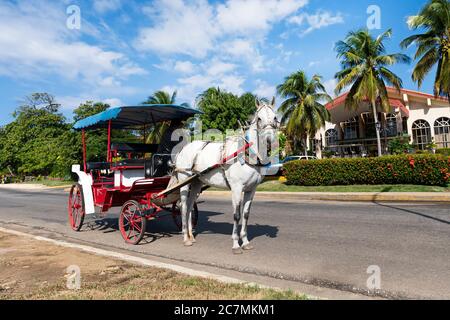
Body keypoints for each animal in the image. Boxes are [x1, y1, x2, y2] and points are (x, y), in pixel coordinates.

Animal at [174, 99, 280, 254]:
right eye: (259, 119)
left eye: (275, 117)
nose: (269, 140)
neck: (247, 154)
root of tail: (184, 149)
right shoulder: (236, 188)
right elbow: (236, 215)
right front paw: (236, 244)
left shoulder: (251, 189)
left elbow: (246, 214)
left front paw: (245, 242)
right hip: (184, 181)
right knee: (183, 207)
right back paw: (185, 238)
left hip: (196, 183)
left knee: (189, 206)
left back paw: (191, 236)